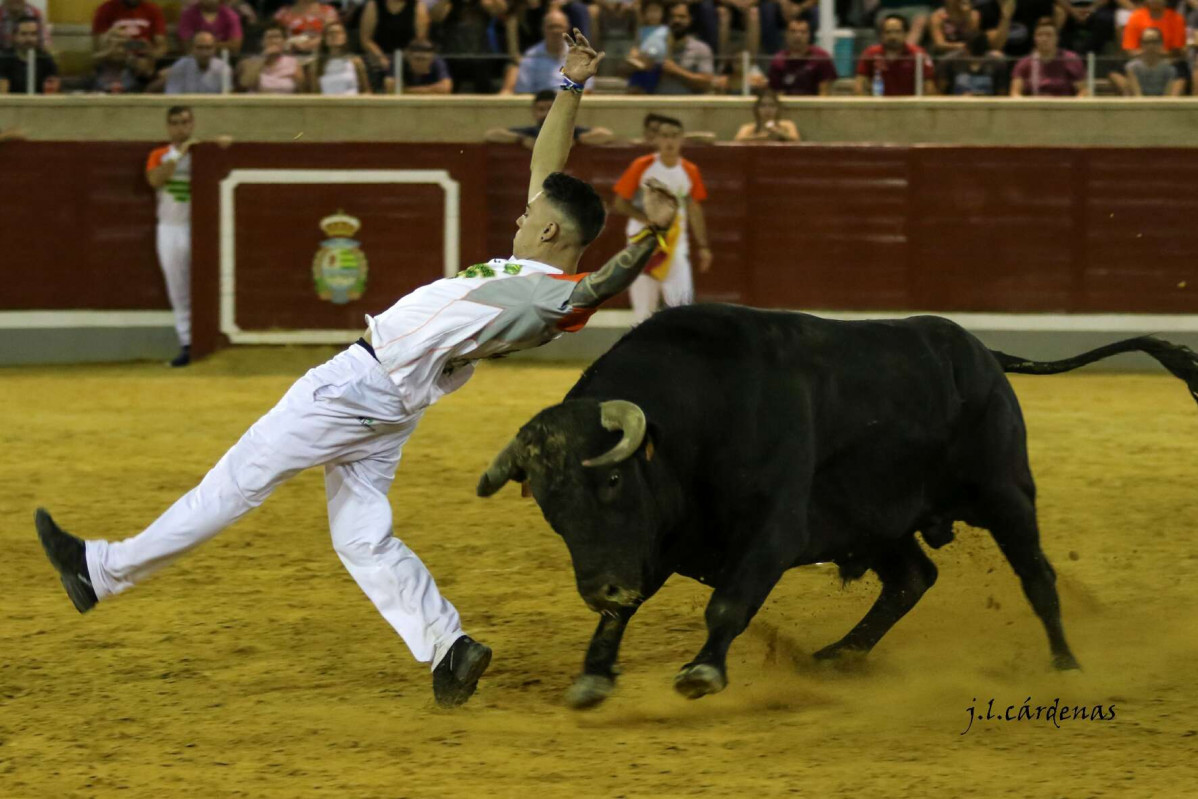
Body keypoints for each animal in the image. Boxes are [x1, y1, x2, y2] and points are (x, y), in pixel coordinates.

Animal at [474, 304, 1198, 704]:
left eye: (612, 483)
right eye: (550, 506)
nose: (601, 588)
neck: (694, 418)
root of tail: (982, 354)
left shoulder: (774, 528)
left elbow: (729, 602)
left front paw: (703, 670)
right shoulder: (658, 542)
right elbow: (624, 615)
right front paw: (594, 675)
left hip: (1006, 493)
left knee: (1037, 578)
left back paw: (1066, 665)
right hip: (879, 524)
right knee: (913, 577)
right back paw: (836, 656)